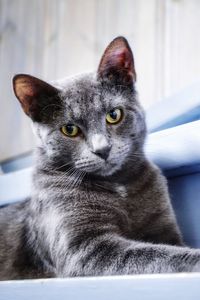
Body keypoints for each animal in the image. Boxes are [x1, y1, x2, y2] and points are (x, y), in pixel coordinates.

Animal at [0, 37, 200, 278]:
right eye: (69, 129)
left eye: (113, 115)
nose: (102, 149)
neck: (119, 186)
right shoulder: (84, 250)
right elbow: (153, 254)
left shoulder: (165, 228)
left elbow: (168, 246)